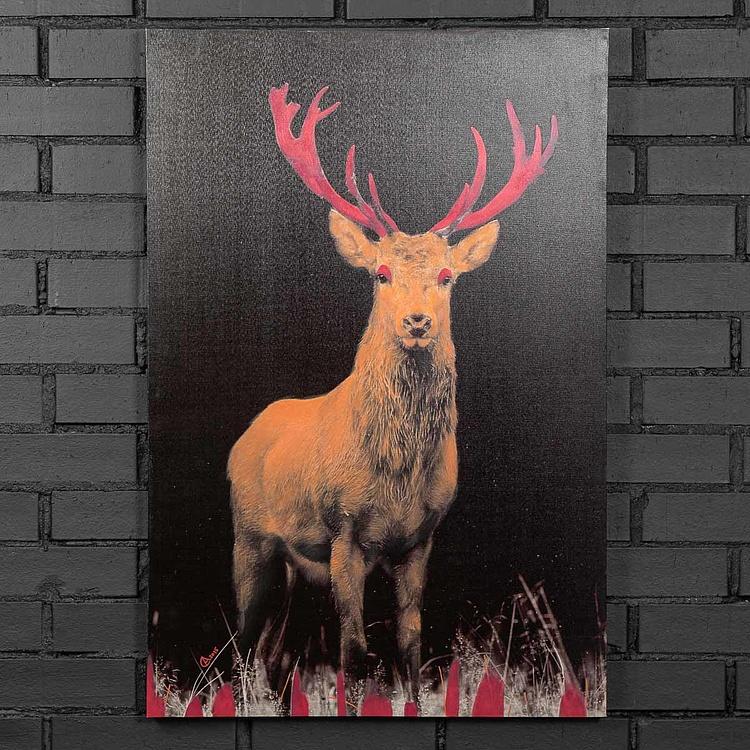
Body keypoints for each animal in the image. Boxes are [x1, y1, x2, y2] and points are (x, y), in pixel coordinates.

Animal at [228, 83, 558, 711]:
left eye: (448, 276)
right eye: (380, 272)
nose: (417, 321)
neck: (396, 473)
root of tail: (244, 436)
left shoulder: (420, 539)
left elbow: (410, 643)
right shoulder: (343, 531)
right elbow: (353, 650)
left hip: (291, 565)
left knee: (272, 653)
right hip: (251, 536)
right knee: (241, 640)